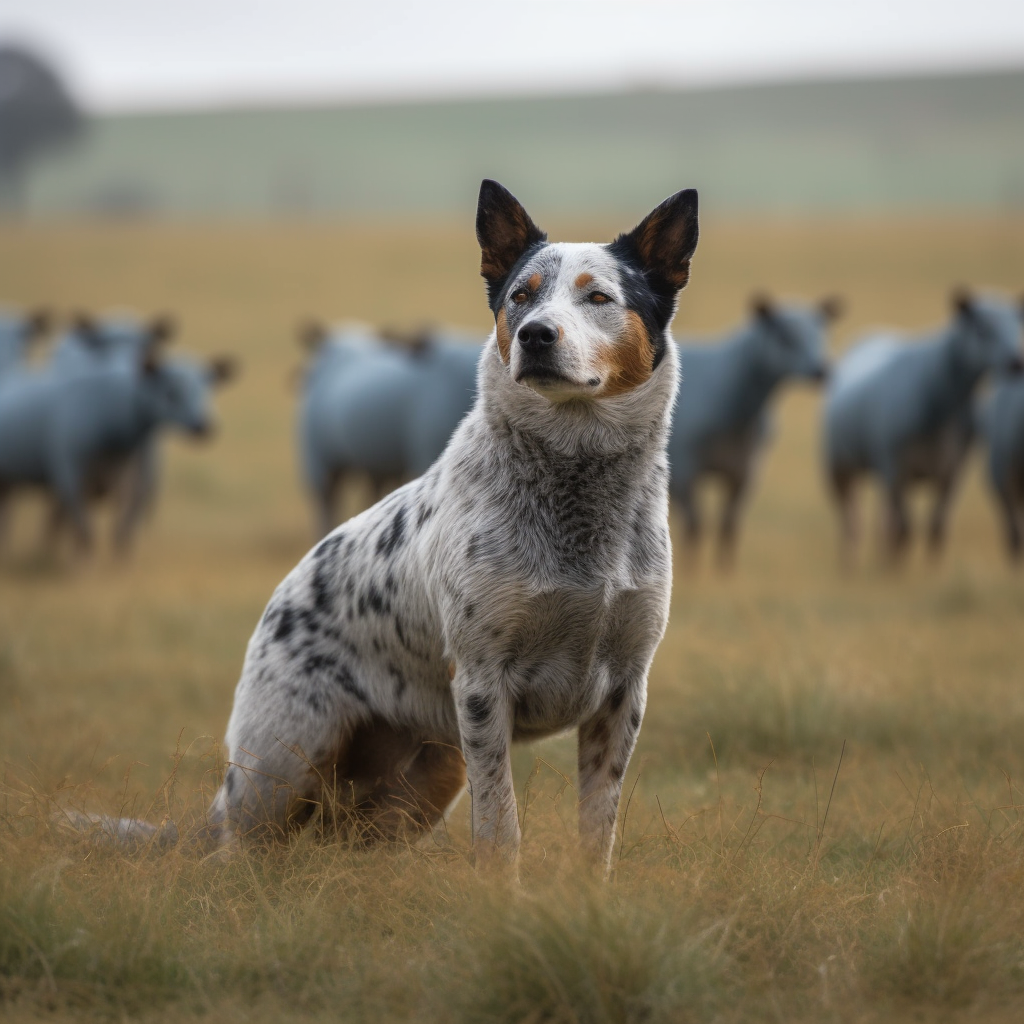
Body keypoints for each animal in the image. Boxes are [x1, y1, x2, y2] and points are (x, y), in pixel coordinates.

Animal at [671, 294, 839, 569]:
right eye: (784, 335)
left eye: (823, 333)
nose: (821, 371)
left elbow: (729, 527)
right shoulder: (685, 470)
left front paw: (724, 571)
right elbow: (694, 527)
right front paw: (691, 570)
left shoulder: (746, 471)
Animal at [823, 288, 1024, 565]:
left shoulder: (953, 472)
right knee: (852, 520)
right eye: (982, 330)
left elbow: (936, 527)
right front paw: (897, 568)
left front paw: (930, 568)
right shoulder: (896, 468)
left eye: (1018, 326)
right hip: (840, 468)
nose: (1016, 362)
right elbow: (905, 529)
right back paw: (851, 562)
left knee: (884, 519)